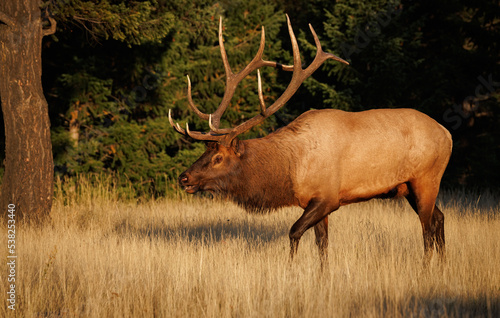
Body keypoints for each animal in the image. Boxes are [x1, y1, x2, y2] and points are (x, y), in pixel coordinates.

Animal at [169, 16, 454, 268]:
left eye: (218, 157)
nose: (184, 177)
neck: (290, 168)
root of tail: (448, 134)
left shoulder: (328, 197)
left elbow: (294, 231)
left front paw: (291, 269)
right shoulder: (314, 201)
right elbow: (322, 244)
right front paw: (322, 275)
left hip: (427, 177)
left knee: (427, 228)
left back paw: (426, 270)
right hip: (409, 187)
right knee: (439, 218)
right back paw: (442, 266)